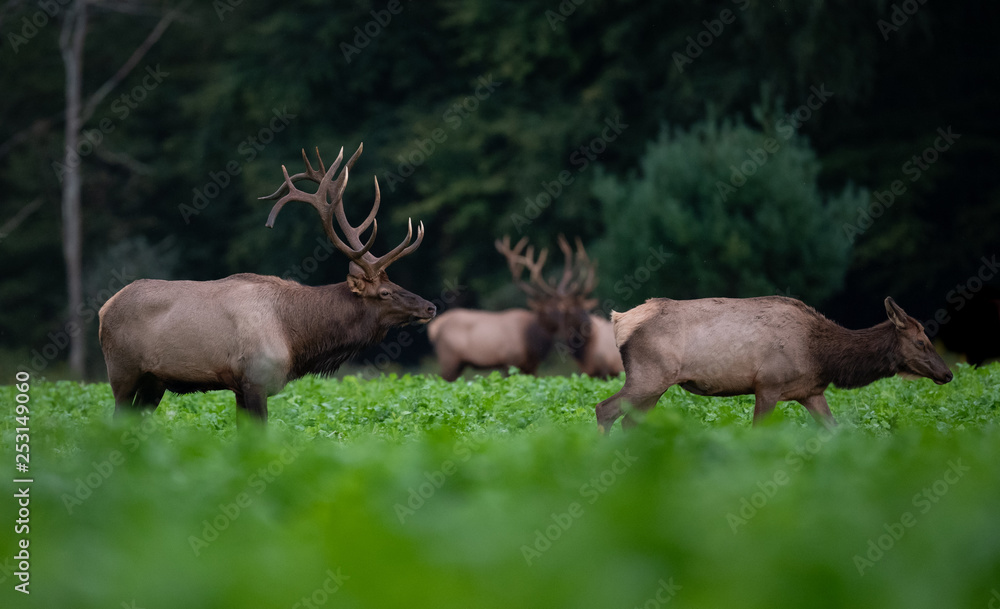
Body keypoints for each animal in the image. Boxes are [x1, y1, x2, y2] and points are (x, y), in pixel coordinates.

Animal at [98, 144, 436, 423]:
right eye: (385, 292)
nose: (430, 307)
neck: (296, 336)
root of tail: (104, 309)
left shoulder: (238, 387)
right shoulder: (256, 379)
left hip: (154, 381)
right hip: (121, 371)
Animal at [427, 235, 589, 381]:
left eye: (563, 308)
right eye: (548, 309)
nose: (563, 327)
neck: (532, 341)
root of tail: (434, 328)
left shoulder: (532, 366)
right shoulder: (510, 361)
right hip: (449, 358)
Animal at [595, 296, 953, 432]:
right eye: (921, 342)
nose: (948, 373)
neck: (822, 355)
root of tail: (619, 319)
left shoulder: (810, 391)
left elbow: (834, 429)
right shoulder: (768, 384)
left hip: (655, 385)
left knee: (630, 421)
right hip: (649, 375)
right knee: (604, 409)